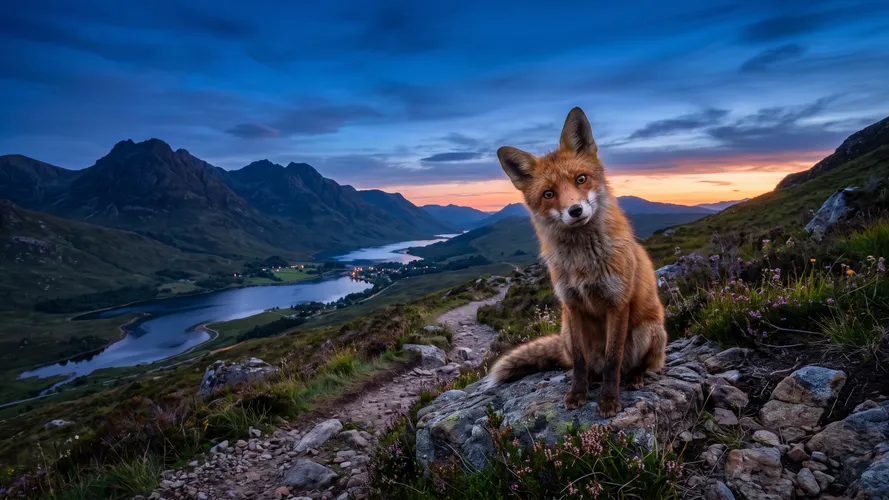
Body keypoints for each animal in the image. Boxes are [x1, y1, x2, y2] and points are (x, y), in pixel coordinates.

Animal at [484, 107, 667, 417]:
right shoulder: (572, 306)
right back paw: (592, 379)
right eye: (548, 194)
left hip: (650, 330)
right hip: (567, 332)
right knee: (586, 365)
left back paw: (634, 377)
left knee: (636, 365)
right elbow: (580, 364)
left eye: (581, 179)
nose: (575, 210)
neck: (584, 262)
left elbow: (613, 359)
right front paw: (578, 393)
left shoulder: (617, 303)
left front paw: (609, 400)